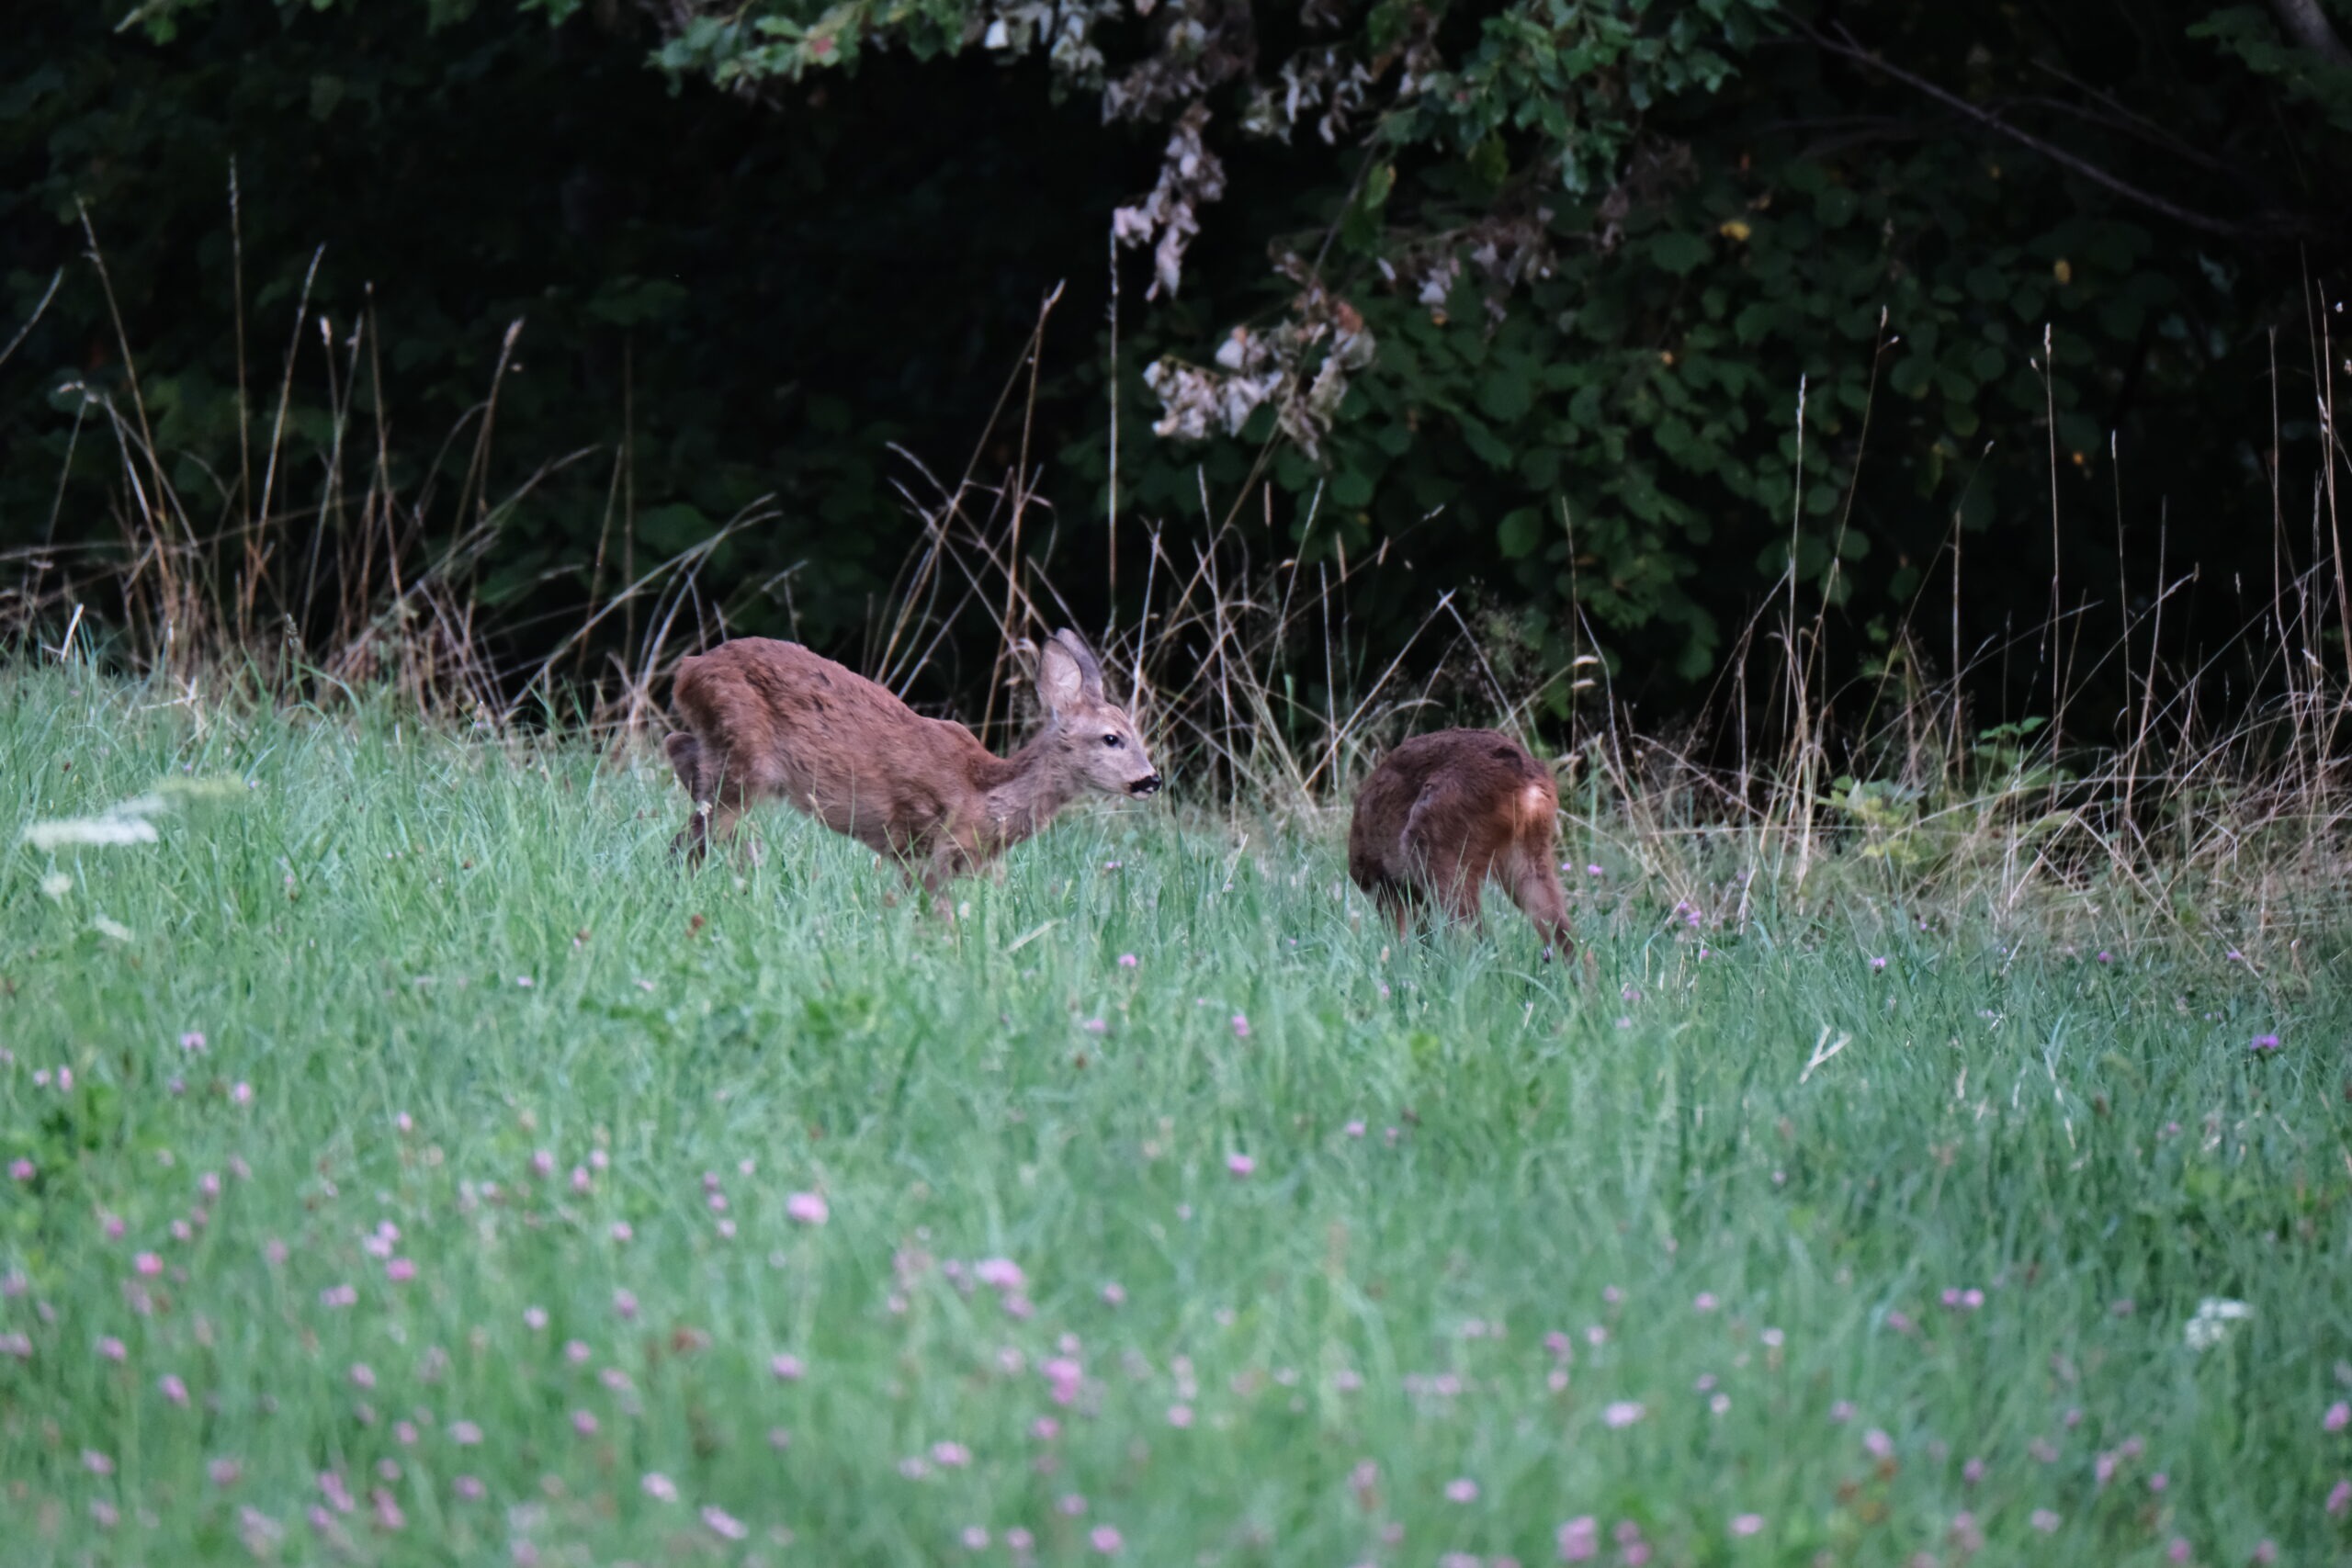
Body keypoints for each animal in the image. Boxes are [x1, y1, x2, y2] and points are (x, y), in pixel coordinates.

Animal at [662, 629, 1161, 899]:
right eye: (1112, 738)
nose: (1151, 780)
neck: (985, 792)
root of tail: (687, 669)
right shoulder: (932, 848)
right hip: (746, 758)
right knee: (695, 822)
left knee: (679, 748)